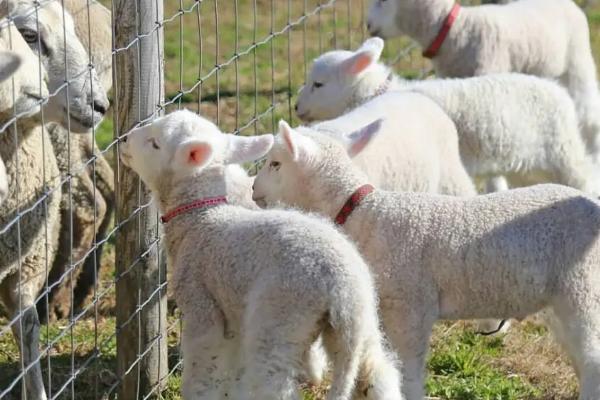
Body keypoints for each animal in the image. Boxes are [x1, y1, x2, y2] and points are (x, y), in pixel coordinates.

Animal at [118, 109, 404, 400]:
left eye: (155, 143)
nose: (124, 140)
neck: (200, 219)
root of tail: (343, 288)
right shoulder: (231, 315)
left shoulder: (202, 305)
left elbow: (202, 371)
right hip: (361, 326)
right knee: (378, 374)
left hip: (279, 317)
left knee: (273, 385)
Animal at [252, 120, 600, 400]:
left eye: (275, 164)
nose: (254, 190)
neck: (364, 214)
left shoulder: (411, 308)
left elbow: (409, 374)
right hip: (561, 299)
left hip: (583, 288)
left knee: (593, 359)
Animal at [296, 36, 600, 196]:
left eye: (318, 84)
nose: (297, 108)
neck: (376, 92)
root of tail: (560, 93)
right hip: (527, 167)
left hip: (563, 152)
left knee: (585, 177)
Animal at [364, 0, 600, 162]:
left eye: (383, 0)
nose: (367, 25)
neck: (456, 30)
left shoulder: (488, 74)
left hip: (577, 60)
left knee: (589, 115)